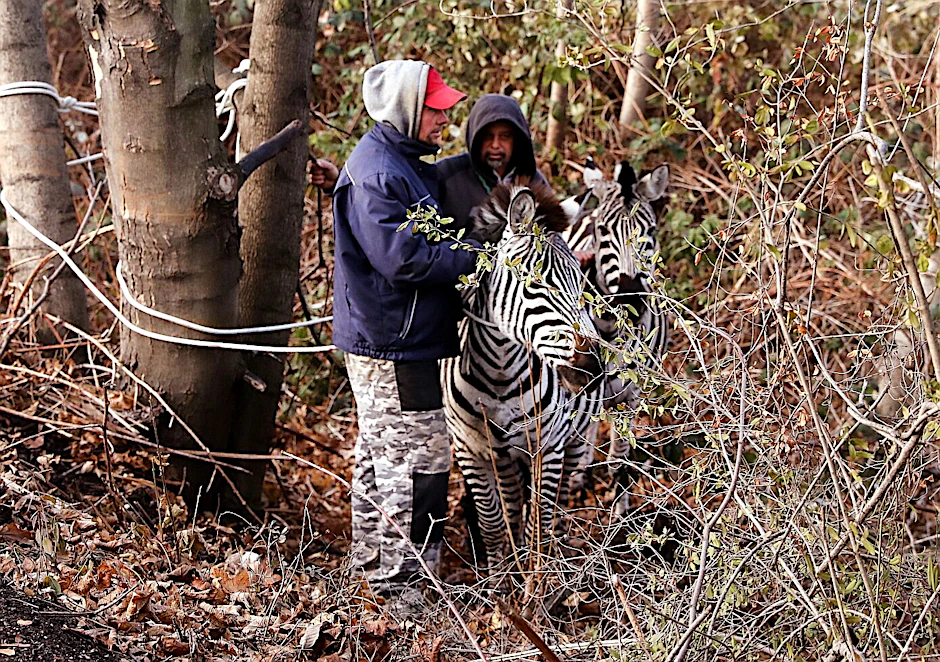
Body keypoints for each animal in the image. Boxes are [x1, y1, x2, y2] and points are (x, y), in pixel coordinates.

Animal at [442, 179, 605, 576]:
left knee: (560, 501)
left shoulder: (548, 447)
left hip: (573, 437)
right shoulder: (471, 450)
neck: (500, 375)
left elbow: (539, 526)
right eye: (533, 285)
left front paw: (536, 585)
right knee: (513, 508)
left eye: (580, 285)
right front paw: (499, 584)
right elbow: (493, 525)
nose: (591, 369)